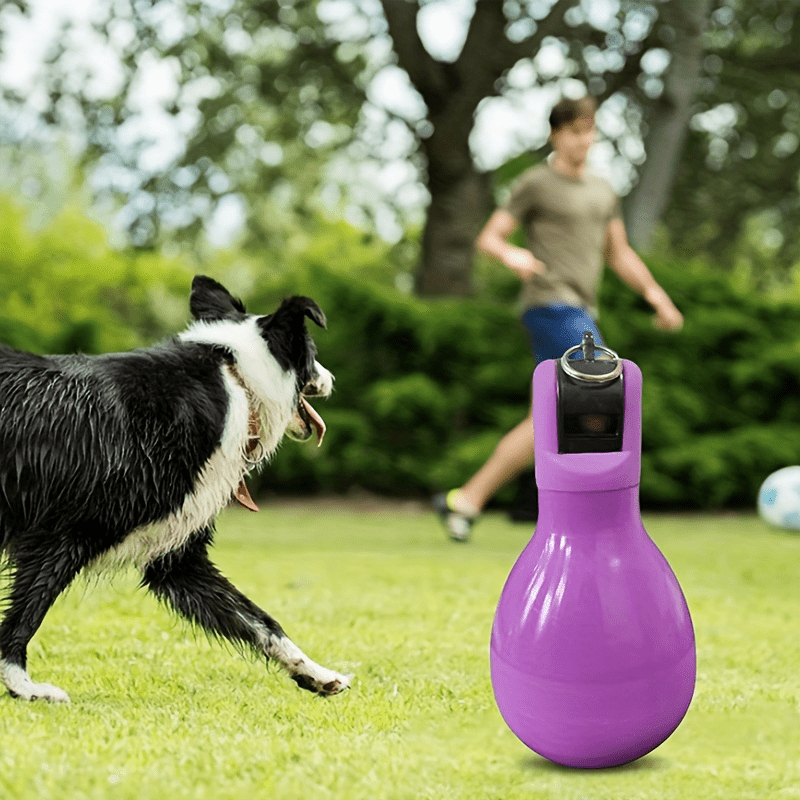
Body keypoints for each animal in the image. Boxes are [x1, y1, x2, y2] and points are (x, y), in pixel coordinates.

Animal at [0, 276, 350, 700]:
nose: (331, 378)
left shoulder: (177, 559)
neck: (238, 380)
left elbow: (260, 621)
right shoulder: (62, 533)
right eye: (312, 356)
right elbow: (27, 611)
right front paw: (21, 684)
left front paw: (315, 673)